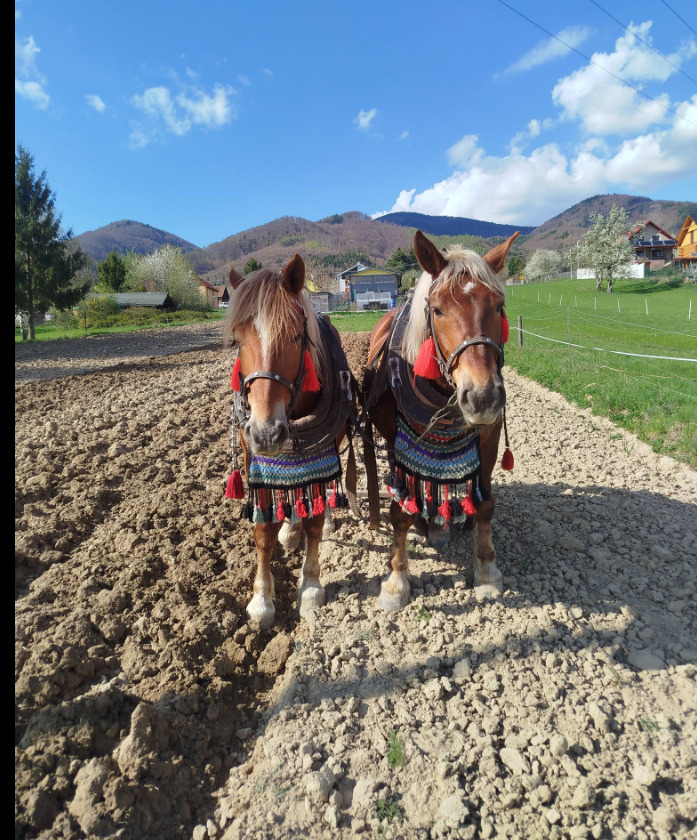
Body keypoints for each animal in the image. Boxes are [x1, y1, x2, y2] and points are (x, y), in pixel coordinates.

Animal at [224, 254, 358, 629]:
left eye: (297, 336)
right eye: (237, 340)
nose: (266, 433)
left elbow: (314, 521)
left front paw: (310, 587)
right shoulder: (257, 464)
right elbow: (263, 530)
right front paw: (261, 600)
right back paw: (290, 529)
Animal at [362, 229, 518, 611]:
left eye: (498, 306)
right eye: (437, 309)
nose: (482, 396)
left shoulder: (489, 435)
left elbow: (485, 503)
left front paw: (486, 571)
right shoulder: (395, 442)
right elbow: (399, 511)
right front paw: (396, 580)